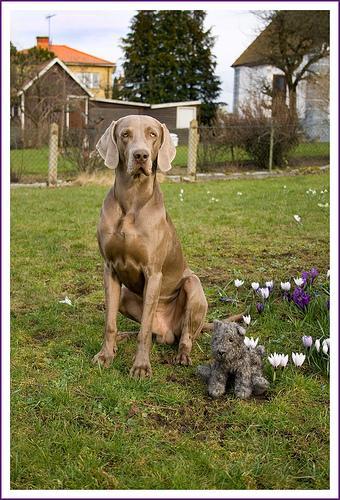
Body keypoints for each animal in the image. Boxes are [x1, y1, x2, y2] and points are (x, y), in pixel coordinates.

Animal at [92, 114, 207, 378]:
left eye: (152, 134)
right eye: (125, 134)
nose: (141, 155)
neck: (132, 198)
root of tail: (166, 332)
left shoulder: (153, 273)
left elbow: (144, 331)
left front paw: (141, 366)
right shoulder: (109, 269)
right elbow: (109, 323)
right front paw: (105, 355)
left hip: (194, 286)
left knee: (183, 336)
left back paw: (182, 355)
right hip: (125, 296)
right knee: (146, 331)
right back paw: (121, 339)